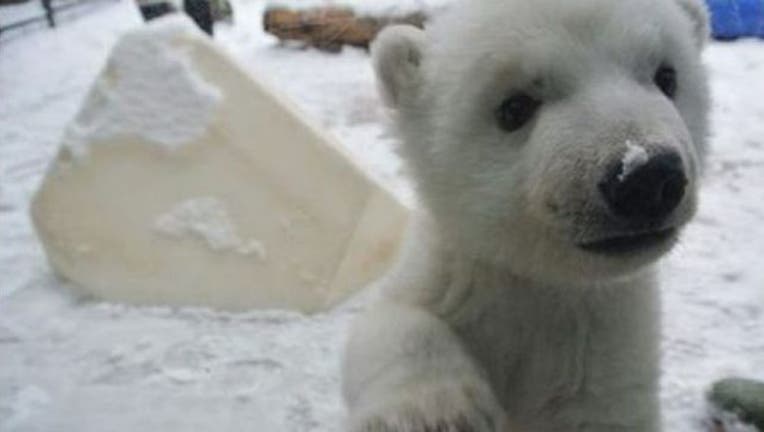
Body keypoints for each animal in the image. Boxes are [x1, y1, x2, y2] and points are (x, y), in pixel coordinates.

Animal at [342, 0, 710, 431]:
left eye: (666, 76)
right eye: (514, 107)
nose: (646, 178)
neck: (543, 281)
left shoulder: (604, 348)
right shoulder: (457, 275)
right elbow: (389, 320)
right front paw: (439, 413)